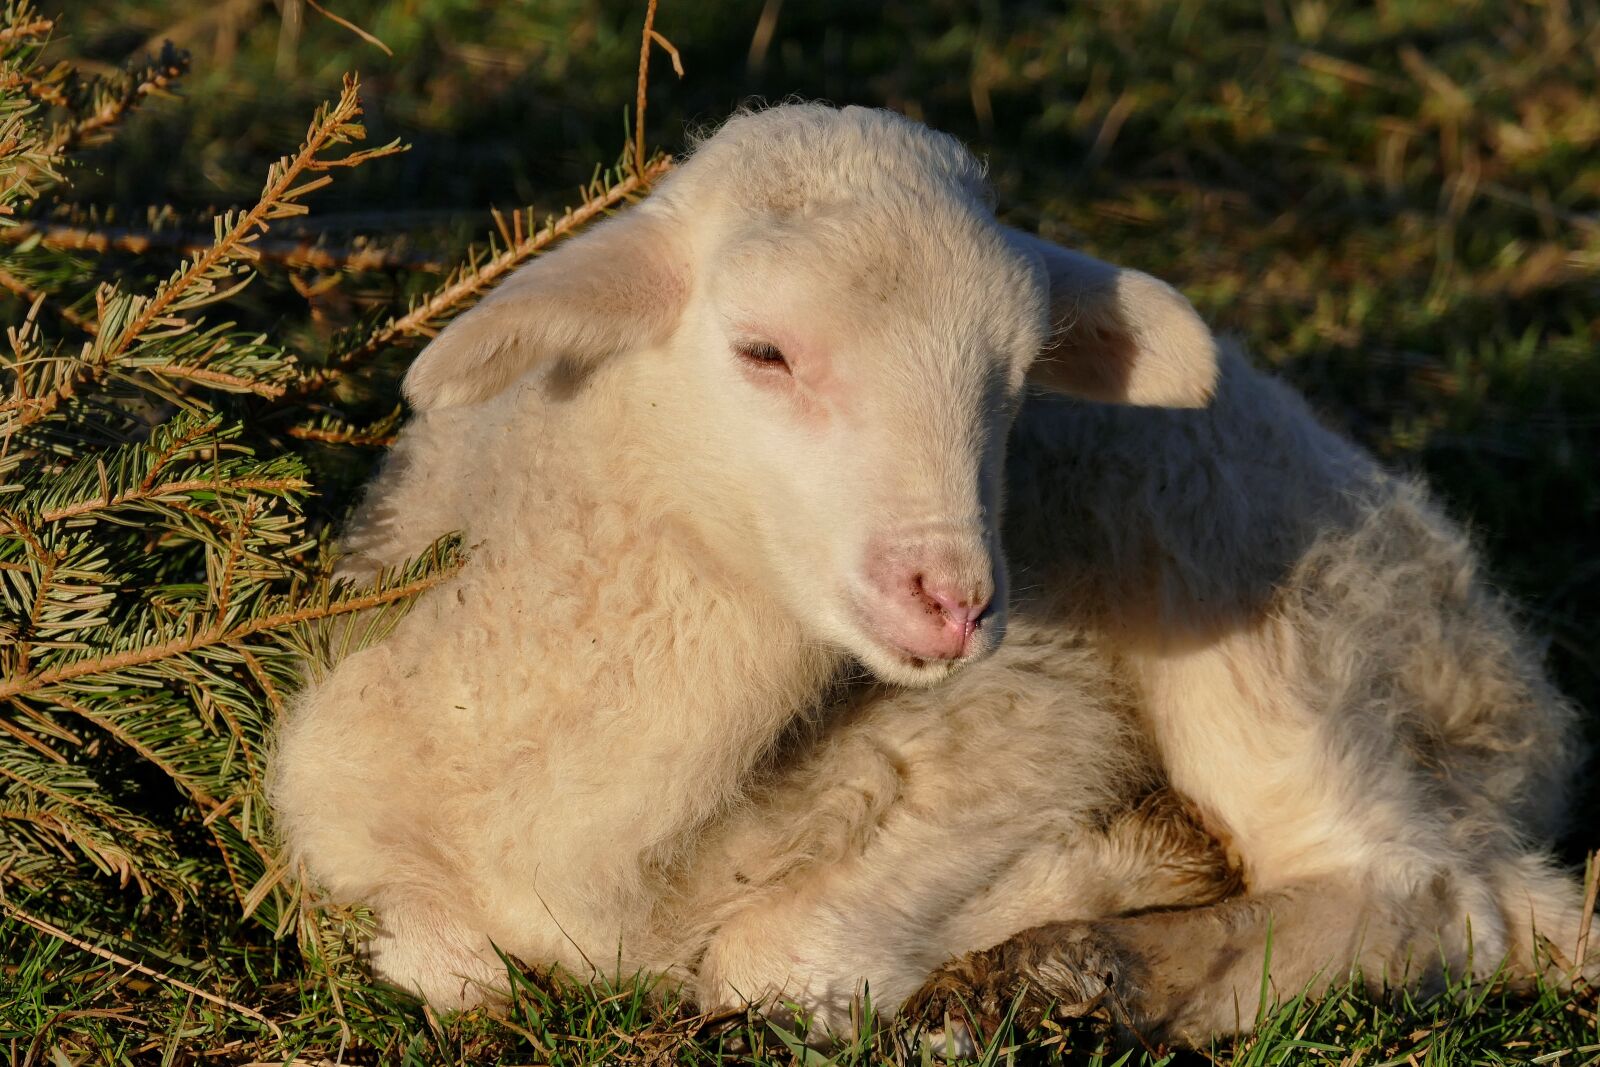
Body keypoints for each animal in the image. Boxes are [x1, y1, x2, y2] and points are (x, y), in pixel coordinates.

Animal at [269, 102, 1592, 1046]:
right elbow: (440, 960)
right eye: (763, 350)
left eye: (1016, 380)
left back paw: (1067, 973)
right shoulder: (338, 812)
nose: (954, 600)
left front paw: (1082, 881)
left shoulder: (1035, 716)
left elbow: (775, 963)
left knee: (1435, 893)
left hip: (1252, 594)